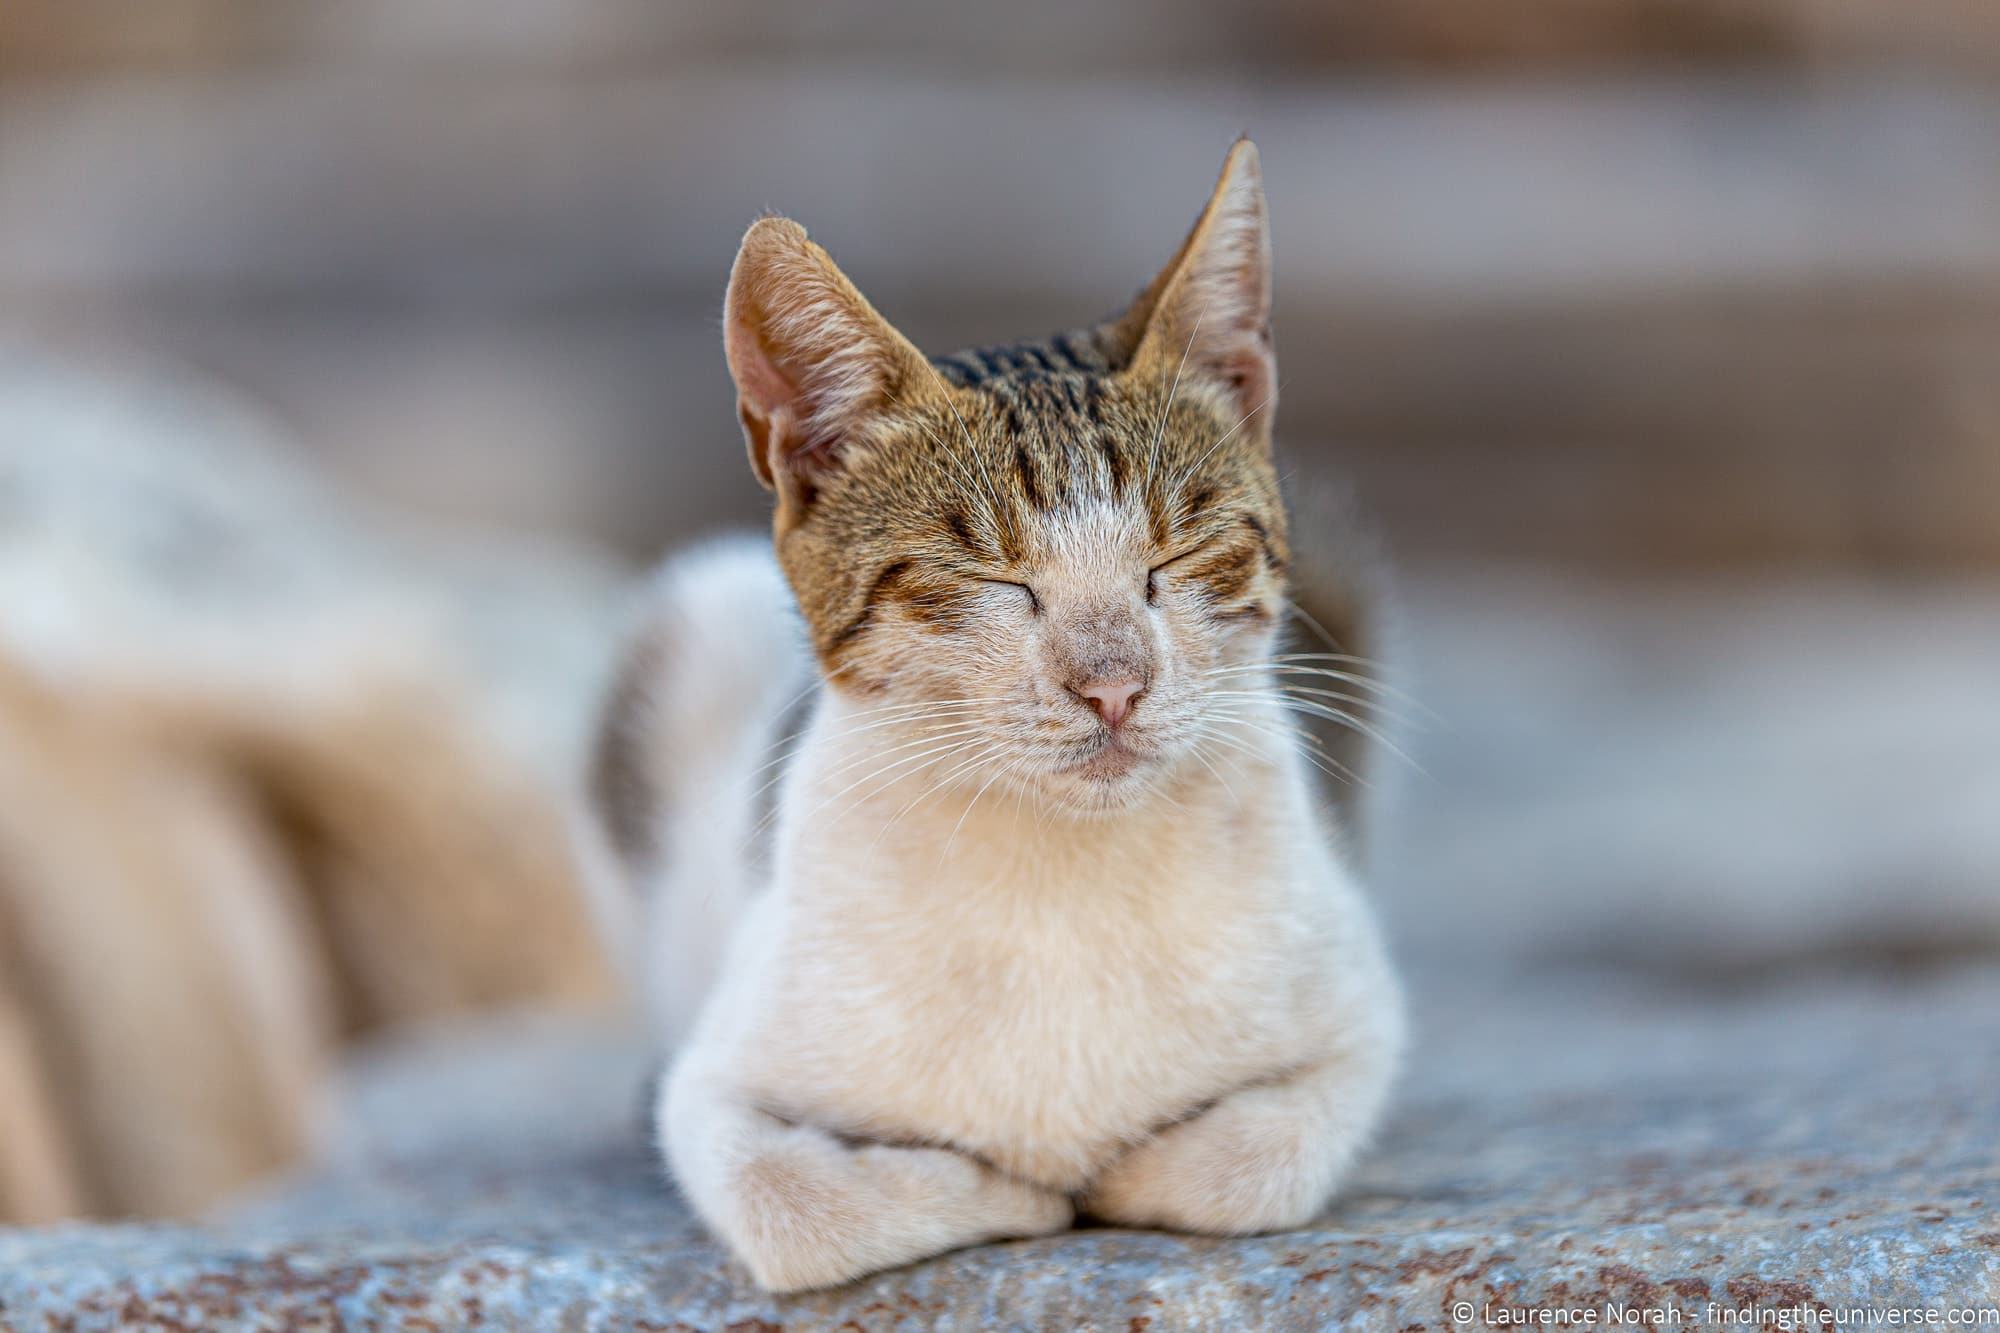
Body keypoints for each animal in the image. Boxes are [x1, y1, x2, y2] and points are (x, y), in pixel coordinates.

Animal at [588, 137, 1408, 1288]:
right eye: (991, 578)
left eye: (1178, 554)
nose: (1112, 681)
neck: (1060, 875)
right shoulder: (713, 1081)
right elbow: (787, 1199)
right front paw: (1010, 1186)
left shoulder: (1360, 1016)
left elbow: (1250, 1161)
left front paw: (1112, 1172)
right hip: (697, 620)